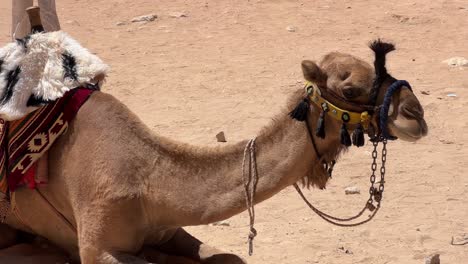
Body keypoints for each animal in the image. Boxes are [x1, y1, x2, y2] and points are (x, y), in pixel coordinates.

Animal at [0, 35, 428, 262]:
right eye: (351, 88)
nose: (416, 114)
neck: (147, 176)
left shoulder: (168, 228)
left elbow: (228, 256)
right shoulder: (97, 245)